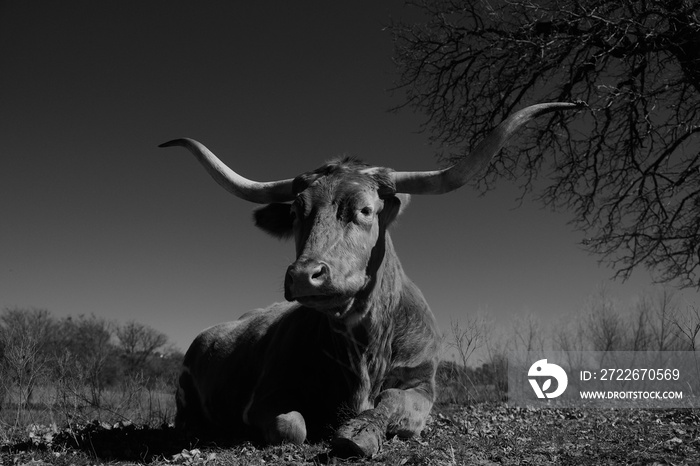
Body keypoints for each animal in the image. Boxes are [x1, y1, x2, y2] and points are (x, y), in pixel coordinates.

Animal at [163, 102, 580, 456]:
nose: (305, 276)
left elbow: (395, 407)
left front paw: (359, 432)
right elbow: (291, 426)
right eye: (297, 212)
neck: (365, 344)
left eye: (364, 209)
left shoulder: (421, 385)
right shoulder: (265, 395)